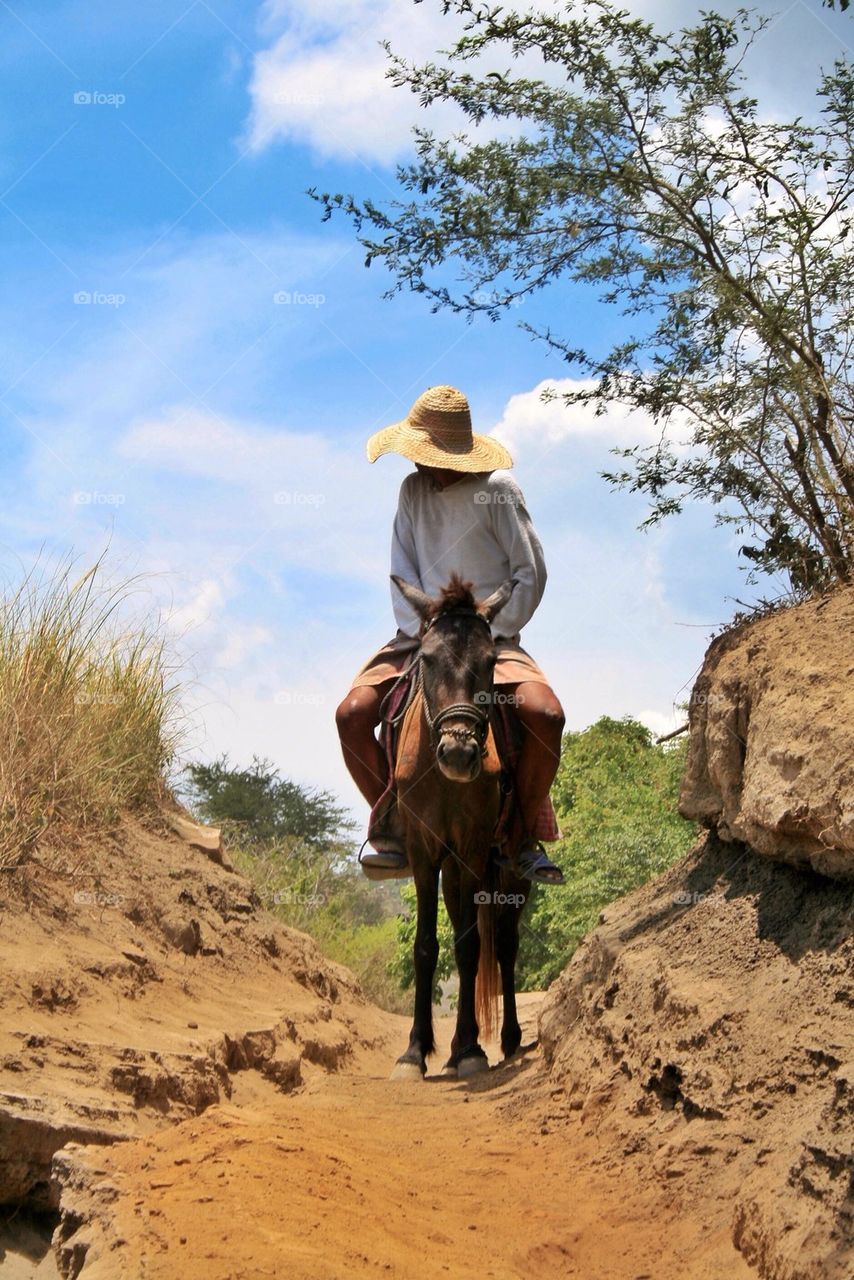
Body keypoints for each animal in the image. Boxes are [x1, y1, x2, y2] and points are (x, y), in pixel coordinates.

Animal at [389, 573, 532, 1081]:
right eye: (427, 659)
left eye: (490, 662)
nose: (458, 752)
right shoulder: (424, 850)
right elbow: (427, 947)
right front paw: (415, 1051)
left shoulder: (471, 849)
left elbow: (471, 947)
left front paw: (471, 1050)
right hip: (451, 871)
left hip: (510, 871)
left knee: (505, 945)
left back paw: (505, 1039)